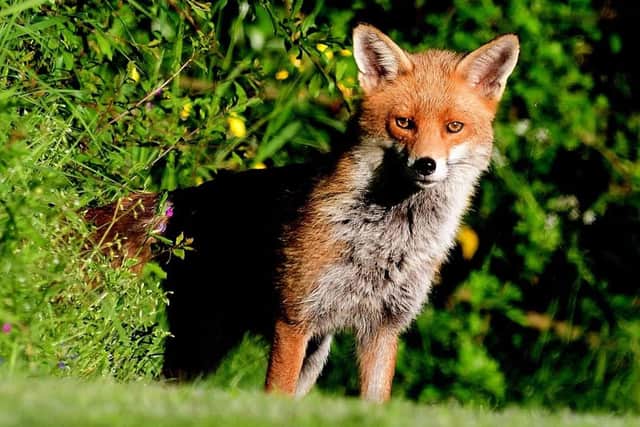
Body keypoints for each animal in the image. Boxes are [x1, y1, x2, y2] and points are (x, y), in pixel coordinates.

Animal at [85, 24, 519, 402]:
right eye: (403, 123)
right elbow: (275, 393)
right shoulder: (295, 320)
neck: (385, 240)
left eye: (454, 127)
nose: (426, 165)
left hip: (280, 354)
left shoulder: (383, 327)